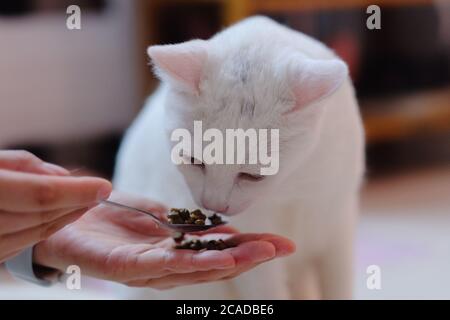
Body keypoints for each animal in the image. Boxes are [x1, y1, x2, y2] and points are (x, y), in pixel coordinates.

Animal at [114, 16, 364, 298]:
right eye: (194, 161)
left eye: (253, 176)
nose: (213, 204)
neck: (290, 187)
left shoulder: (338, 223)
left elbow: (338, 285)